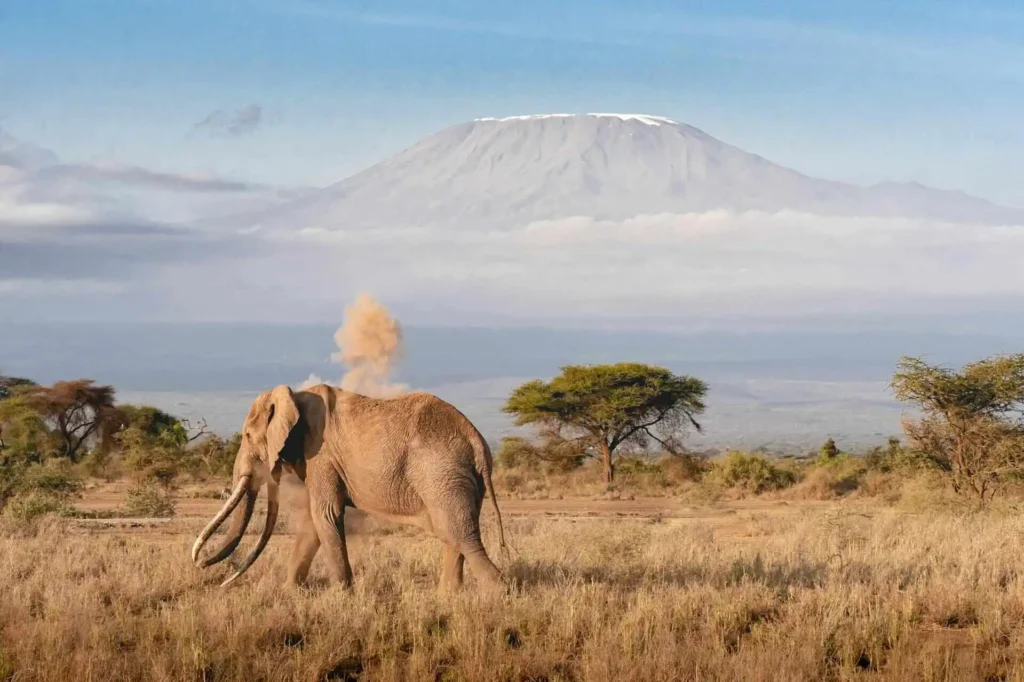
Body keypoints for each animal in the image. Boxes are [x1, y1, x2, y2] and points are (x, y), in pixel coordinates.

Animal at [191, 383, 507, 591]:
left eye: (246, 435)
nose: (204, 567)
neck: (294, 396)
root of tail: (477, 441)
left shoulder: (321, 455)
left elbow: (325, 514)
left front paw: (341, 596)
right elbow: (313, 522)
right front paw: (290, 593)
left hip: (442, 473)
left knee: (460, 535)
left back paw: (497, 594)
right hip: (456, 478)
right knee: (452, 533)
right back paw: (448, 599)